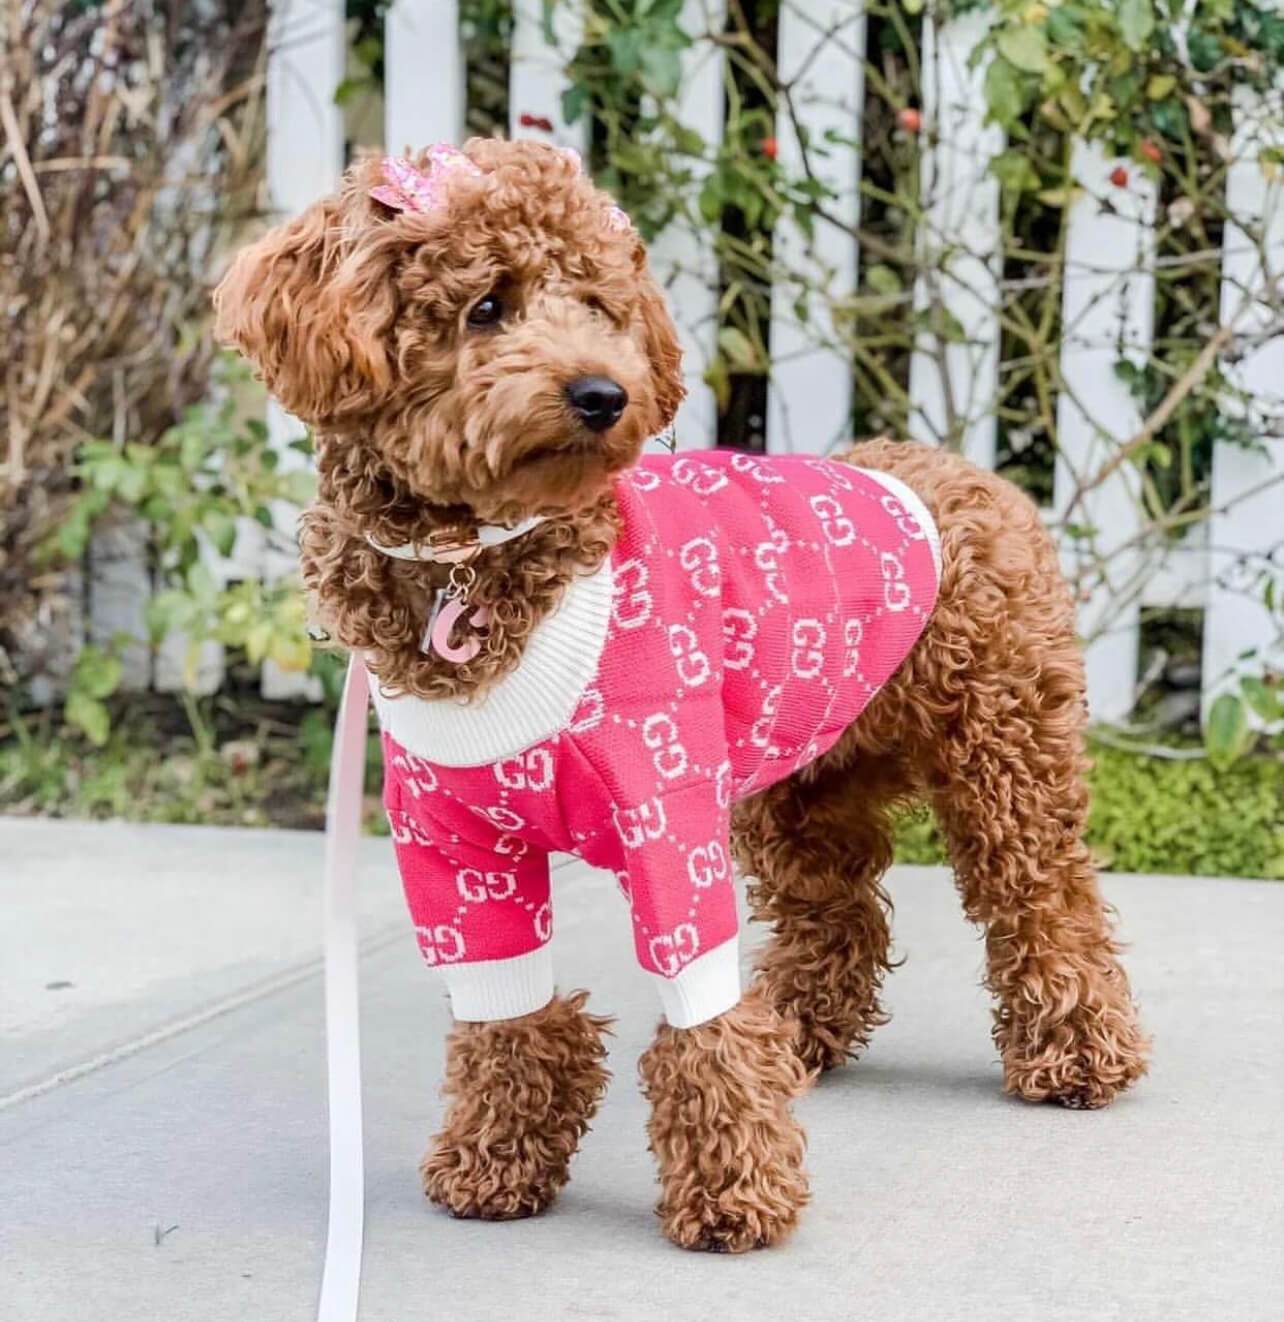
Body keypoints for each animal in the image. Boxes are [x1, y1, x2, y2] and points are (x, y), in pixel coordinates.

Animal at [215, 139, 1147, 1253]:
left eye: (599, 304)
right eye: (487, 305)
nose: (602, 394)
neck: (484, 561)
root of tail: (966, 473)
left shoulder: (667, 824)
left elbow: (699, 1016)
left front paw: (735, 1189)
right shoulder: (456, 850)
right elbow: (504, 1011)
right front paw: (496, 1157)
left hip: (1003, 753)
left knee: (1047, 898)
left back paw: (1078, 1051)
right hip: (805, 786)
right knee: (840, 916)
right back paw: (796, 1032)